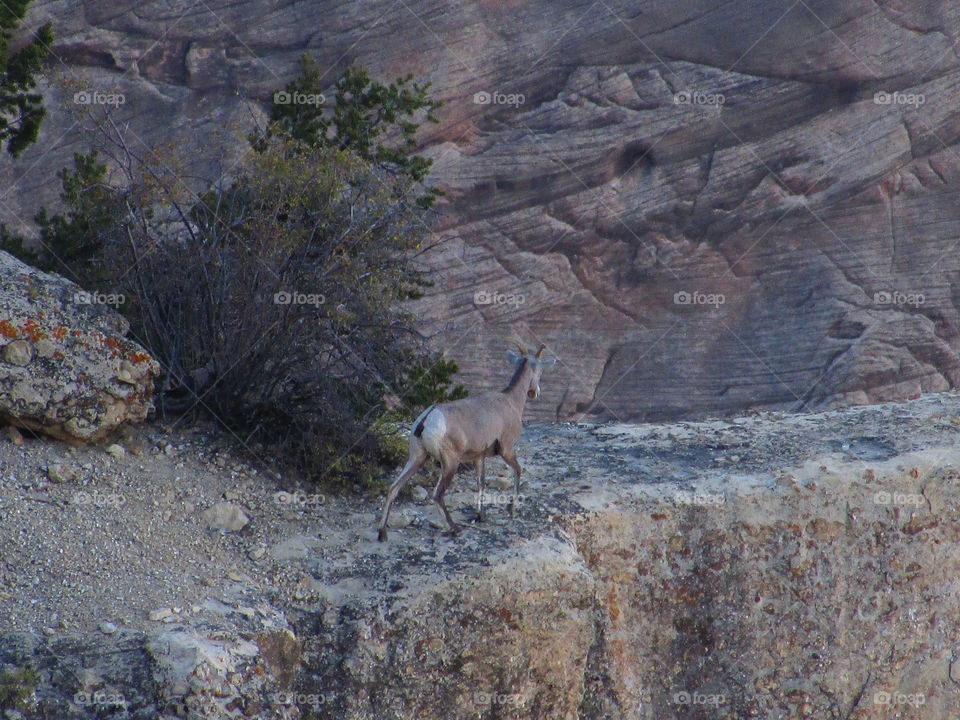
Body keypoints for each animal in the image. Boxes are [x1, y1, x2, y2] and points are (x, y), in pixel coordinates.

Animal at [377, 337, 555, 541]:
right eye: (540, 371)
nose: (535, 393)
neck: (510, 401)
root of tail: (427, 420)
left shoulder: (479, 457)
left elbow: (481, 483)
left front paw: (481, 515)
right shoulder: (507, 450)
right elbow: (518, 471)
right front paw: (512, 508)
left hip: (417, 458)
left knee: (393, 488)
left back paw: (382, 533)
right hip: (450, 463)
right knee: (437, 494)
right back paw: (454, 528)